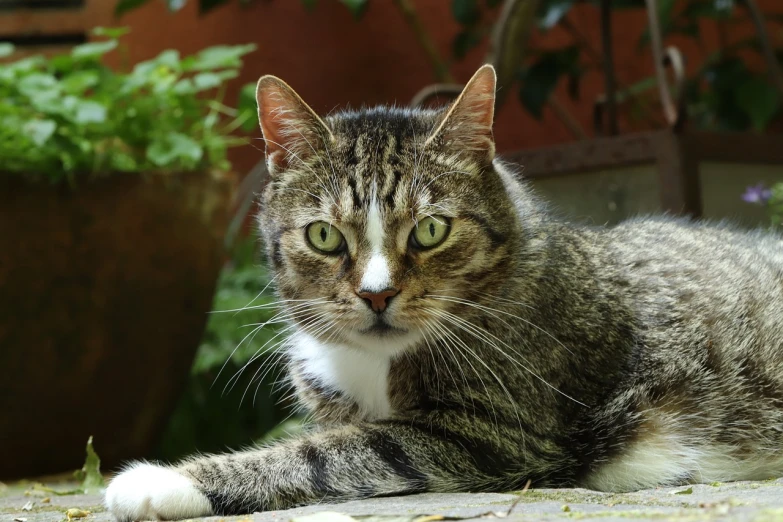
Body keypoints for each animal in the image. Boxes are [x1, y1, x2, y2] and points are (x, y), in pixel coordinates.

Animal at [105, 65, 783, 520]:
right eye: (325, 236)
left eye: (431, 229)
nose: (377, 295)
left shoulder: (492, 433)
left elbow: (326, 453)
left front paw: (163, 480)